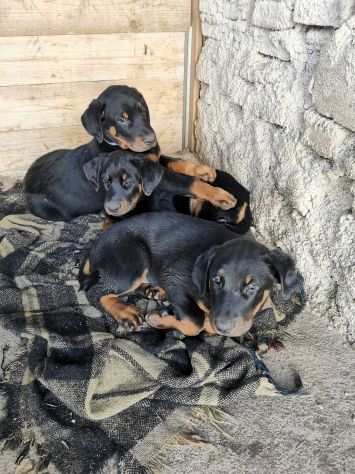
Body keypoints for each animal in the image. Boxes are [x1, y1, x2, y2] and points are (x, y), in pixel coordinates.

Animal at [80, 211, 304, 336]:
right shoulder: (175, 278)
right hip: (133, 262)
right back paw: (124, 311)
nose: (223, 327)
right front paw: (158, 318)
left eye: (252, 287)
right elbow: (196, 323)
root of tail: (96, 244)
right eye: (216, 281)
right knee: (96, 291)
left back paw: (153, 290)